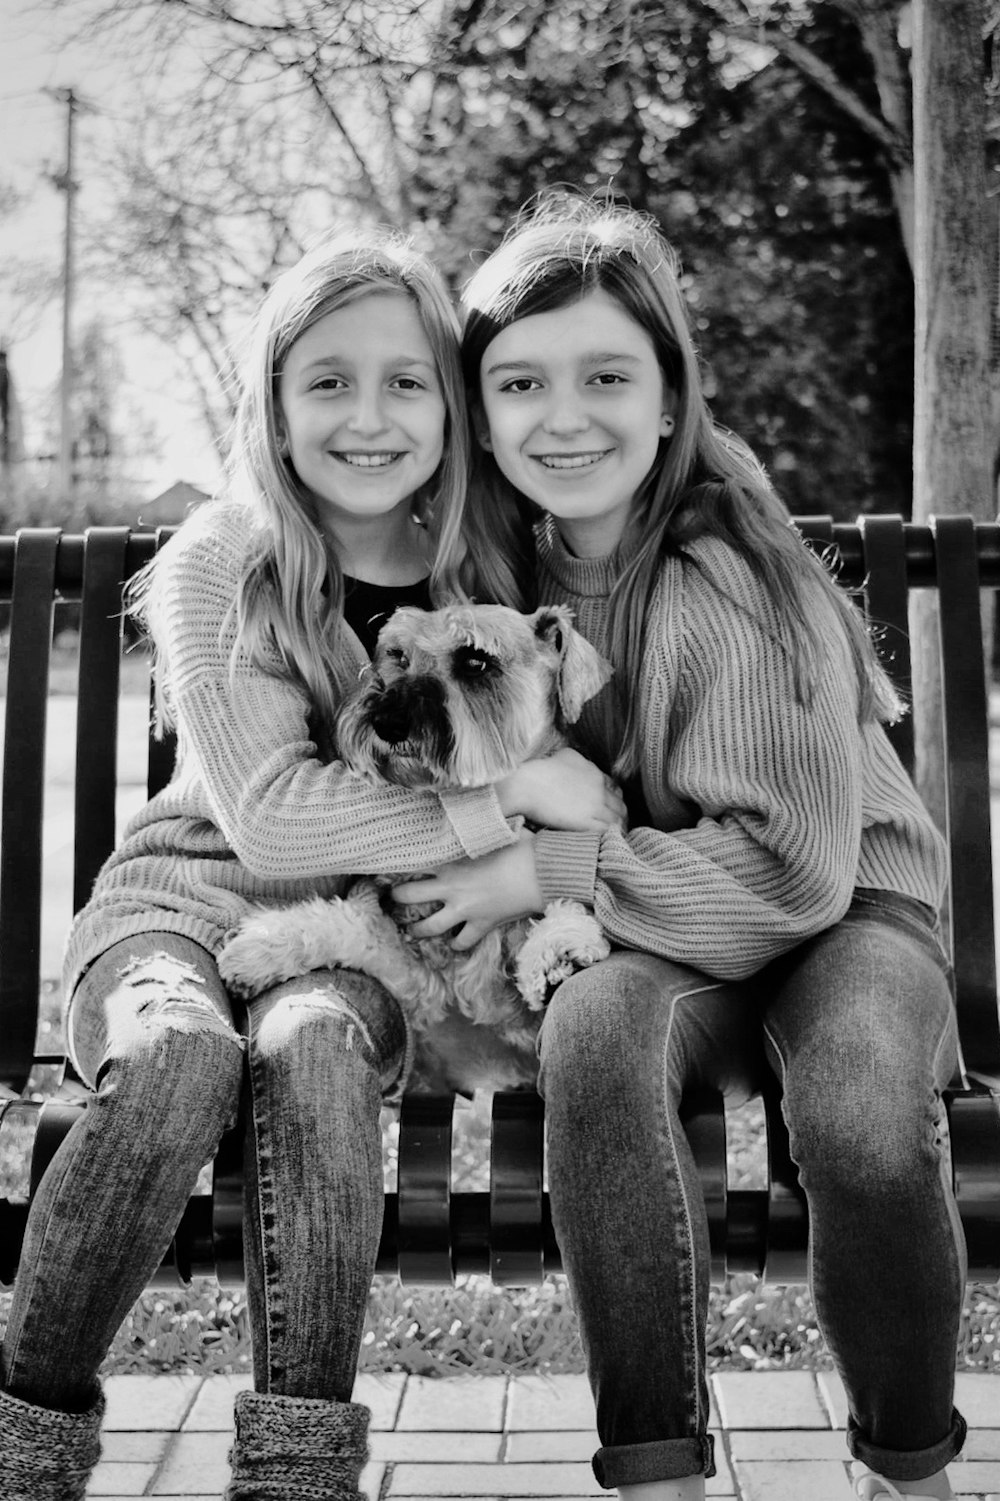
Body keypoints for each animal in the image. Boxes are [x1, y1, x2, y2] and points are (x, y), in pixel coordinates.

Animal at [214, 603, 612, 1098]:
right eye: (398, 655)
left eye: (476, 660)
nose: (387, 722)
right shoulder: (418, 981)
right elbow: (344, 923)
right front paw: (257, 949)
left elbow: (555, 913)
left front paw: (559, 950)